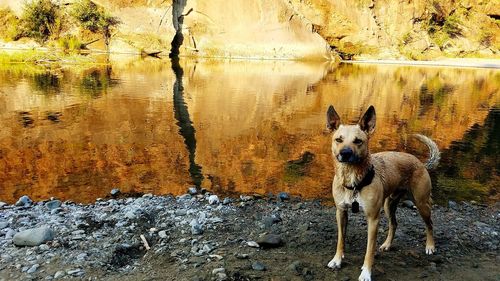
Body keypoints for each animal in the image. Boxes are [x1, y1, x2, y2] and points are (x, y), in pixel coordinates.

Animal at [326, 105, 440, 280]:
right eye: (338, 139)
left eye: (358, 141)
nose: (345, 153)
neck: (352, 178)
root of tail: (420, 163)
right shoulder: (341, 212)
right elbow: (340, 239)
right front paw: (337, 260)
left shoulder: (373, 219)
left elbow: (369, 250)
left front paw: (366, 272)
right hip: (389, 205)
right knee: (394, 224)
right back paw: (387, 244)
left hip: (422, 204)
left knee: (430, 224)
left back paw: (430, 246)